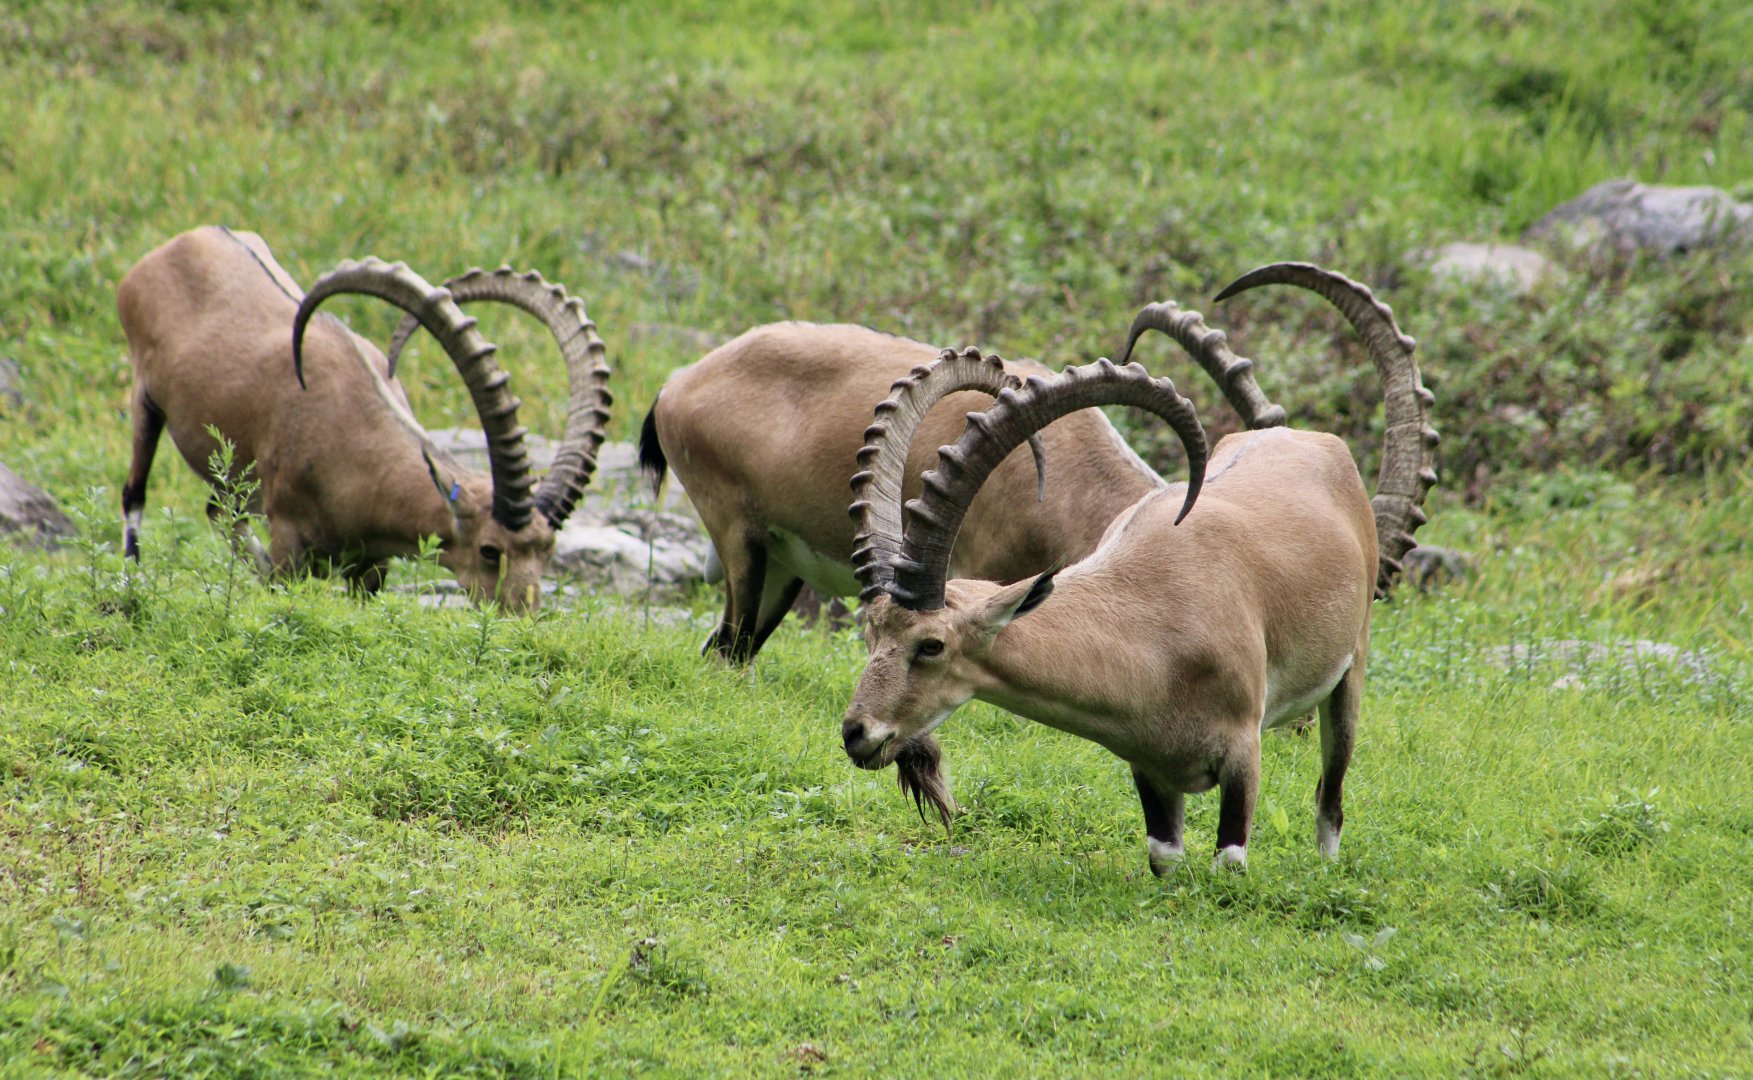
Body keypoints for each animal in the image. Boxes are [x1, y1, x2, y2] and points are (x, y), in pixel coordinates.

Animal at [117, 226, 611, 611]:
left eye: (547, 550)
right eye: (490, 550)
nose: (519, 618)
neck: (356, 443)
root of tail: (173, 247)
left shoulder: (372, 564)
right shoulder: (288, 536)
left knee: (218, 509)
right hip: (145, 399)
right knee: (134, 494)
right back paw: (130, 584)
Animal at [840, 264, 1438, 871]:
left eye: (932, 645)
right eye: (871, 632)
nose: (856, 734)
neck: (1152, 631)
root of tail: (1317, 444)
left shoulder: (1243, 752)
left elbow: (1230, 858)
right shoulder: (1149, 767)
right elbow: (1164, 855)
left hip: (1350, 676)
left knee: (1330, 797)